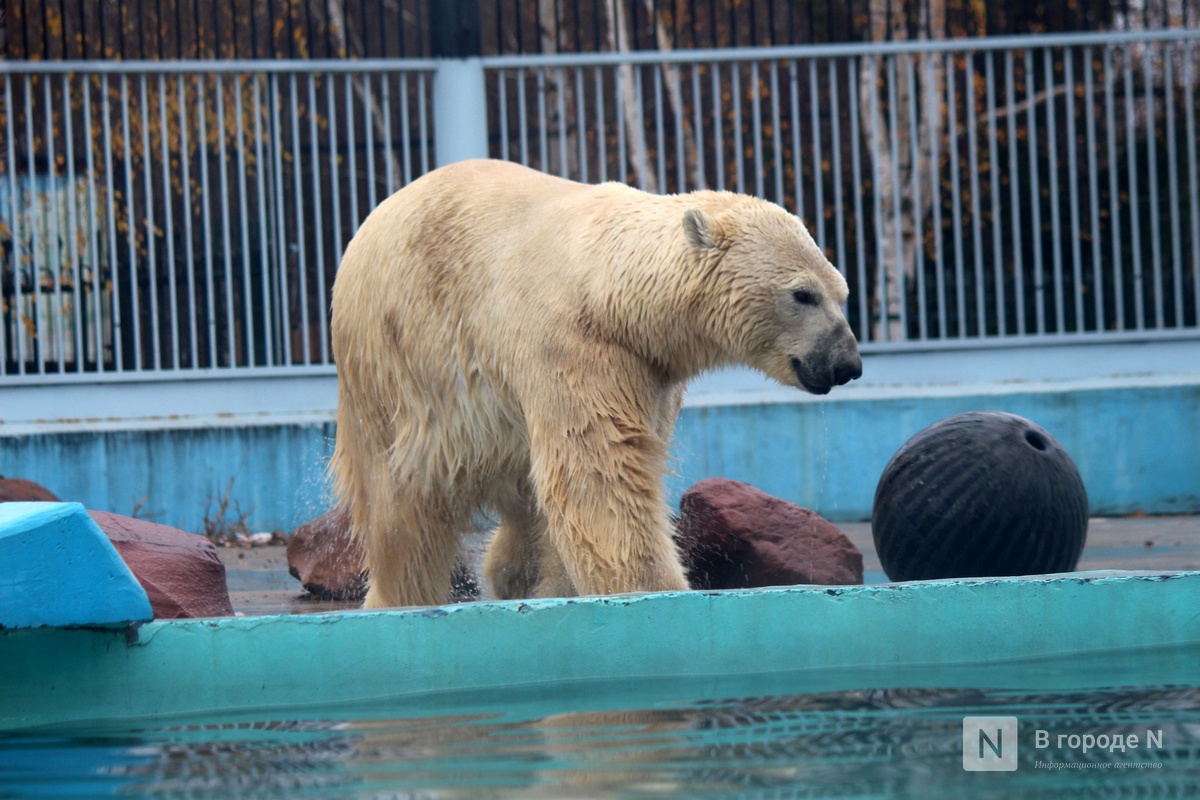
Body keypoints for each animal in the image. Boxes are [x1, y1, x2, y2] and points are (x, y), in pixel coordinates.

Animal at [328, 159, 859, 606]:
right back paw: (403, 598)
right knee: (402, 509)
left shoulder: (651, 369)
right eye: (803, 294)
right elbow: (600, 476)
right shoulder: (573, 348)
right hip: (393, 365)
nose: (847, 364)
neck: (612, 290)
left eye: (843, 292)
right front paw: (656, 591)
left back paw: (509, 575)